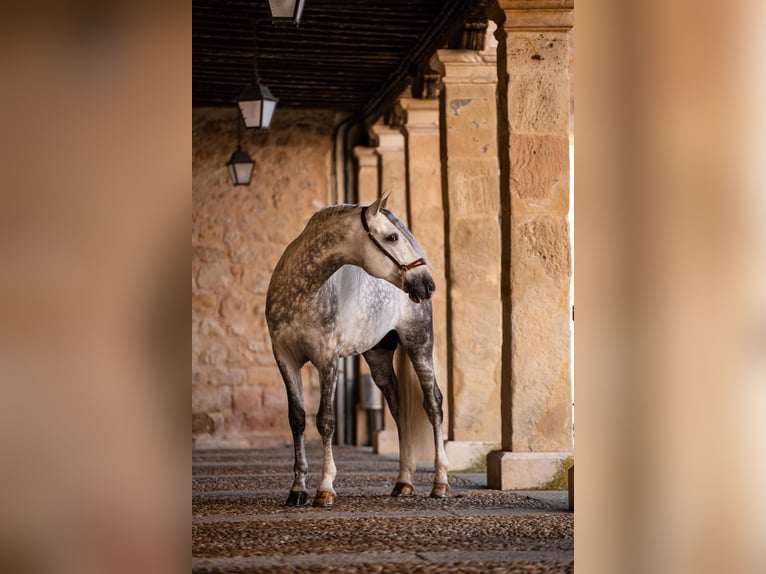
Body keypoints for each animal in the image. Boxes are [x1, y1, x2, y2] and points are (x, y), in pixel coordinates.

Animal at [265, 192, 449, 507]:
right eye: (391, 237)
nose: (428, 284)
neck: (303, 292)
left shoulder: (327, 359)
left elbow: (325, 420)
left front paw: (325, 487)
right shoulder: (285, 358)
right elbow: (297, 419)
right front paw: (297, 489)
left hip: (419, 344)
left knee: (433, 403)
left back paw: (440, 482)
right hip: (378, 357)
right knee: (398, 409)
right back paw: (403, 482)